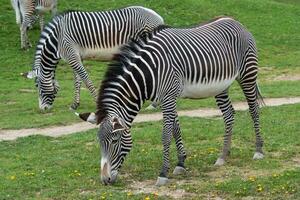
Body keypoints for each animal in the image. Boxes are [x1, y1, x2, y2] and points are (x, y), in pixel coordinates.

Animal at [22, 6, 164, 110]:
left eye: (37, 85)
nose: (43, 109)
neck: (57, 40)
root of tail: (158, 17)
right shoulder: (76, 57)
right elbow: (77, 81)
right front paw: (75, 105)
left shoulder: (71, 55)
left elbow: (86, 80)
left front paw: (97, 101)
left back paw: (154, 104)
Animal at [77, 16, 264, 186]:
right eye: (99, 142)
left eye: (115, 140)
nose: (105, 180)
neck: (148, 73)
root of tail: (235, 21)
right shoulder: (166, 99)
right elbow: (176, 129)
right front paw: (181, 163)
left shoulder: (168, 98)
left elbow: (166, 135)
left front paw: (163, 173)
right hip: (220, 86)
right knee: (229, 114)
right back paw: (223, 156)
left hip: (247, 75)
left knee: (254, 110)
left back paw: (259, 151)